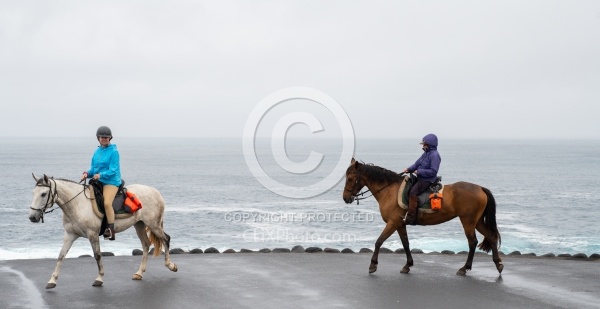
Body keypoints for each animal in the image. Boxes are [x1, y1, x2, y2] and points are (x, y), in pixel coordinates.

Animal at [28, 174, 178, 288]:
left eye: (43, 194)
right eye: (33, 193)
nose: (32, 217)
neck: (77, 204)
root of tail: (156, 192)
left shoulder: (92, 234)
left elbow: (97, 255)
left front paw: (99, 278)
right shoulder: (70, 235)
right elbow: (61, 256)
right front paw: (52, 280)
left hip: (154, 224)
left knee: (166, 239)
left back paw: (171, 266)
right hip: (139, 225)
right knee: (146, 245)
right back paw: (139, 273)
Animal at [342, 158, 502, 276]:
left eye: (350, 178)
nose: (345, 198)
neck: (389, 191)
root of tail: (480, 188)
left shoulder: (392, 223)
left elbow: (379, 241)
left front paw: (373, 265)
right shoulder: (400, 224)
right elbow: (406, 244)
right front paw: (408, 265)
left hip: (468, 221)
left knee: (472, 242)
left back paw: (465, 268)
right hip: (477, 221)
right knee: (491, 236)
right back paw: (498, 264)